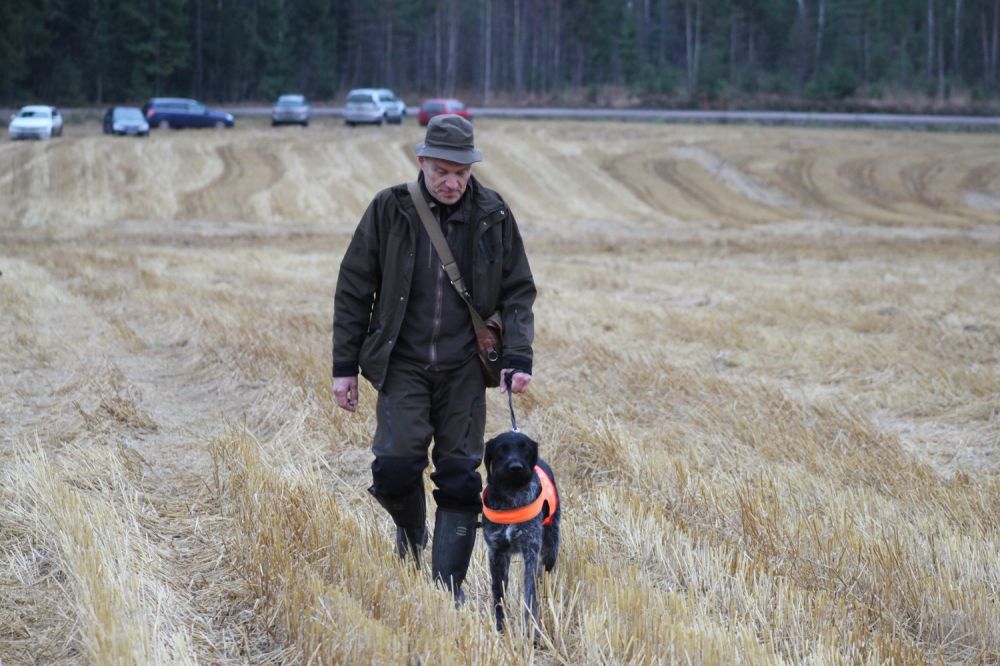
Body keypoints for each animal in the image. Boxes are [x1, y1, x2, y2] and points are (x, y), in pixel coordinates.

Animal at [481, 431, 560, 634]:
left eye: (525, 448)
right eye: (502, 448)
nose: (516, 468)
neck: (511, 496)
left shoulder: (531, 550)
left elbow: (530, 593)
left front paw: (532, 630)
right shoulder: (496, 553)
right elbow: (498, 594)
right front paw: (500, 627)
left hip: (550, 548)